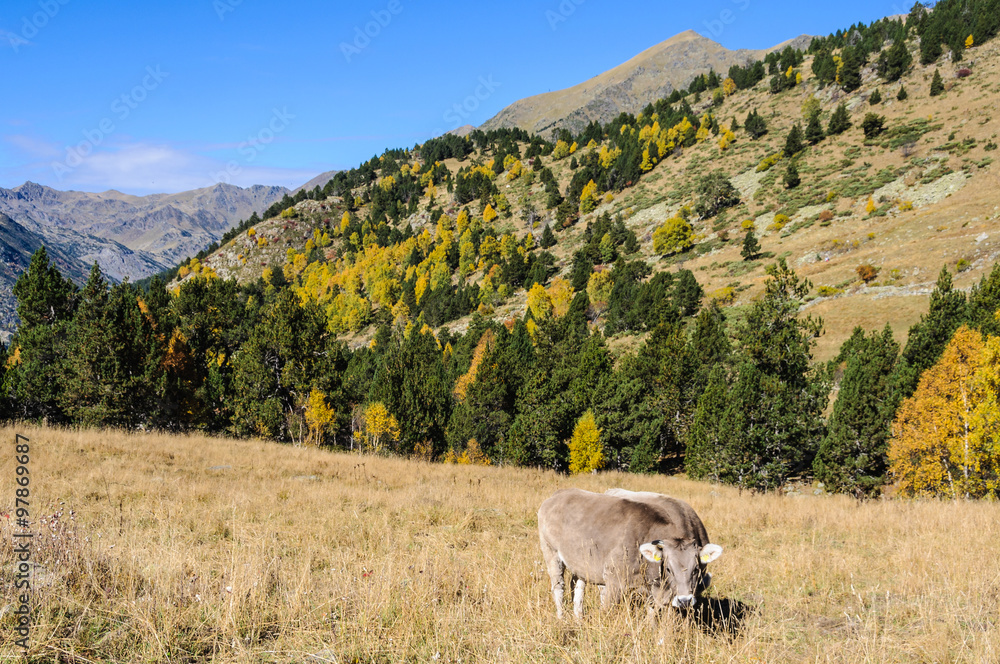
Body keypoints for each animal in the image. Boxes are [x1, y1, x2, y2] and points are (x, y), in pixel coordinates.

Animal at [537, 488, 722, 618]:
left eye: (696, 569)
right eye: (669, 569)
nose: (685, 600)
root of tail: (560, 493)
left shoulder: (653, 590)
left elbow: (652, 615)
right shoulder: (613, 581)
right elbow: (607, 611)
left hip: (581, 562)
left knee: (577, 586)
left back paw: (578, 617)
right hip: (550, 552)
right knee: (558, 586)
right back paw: (561, 618)